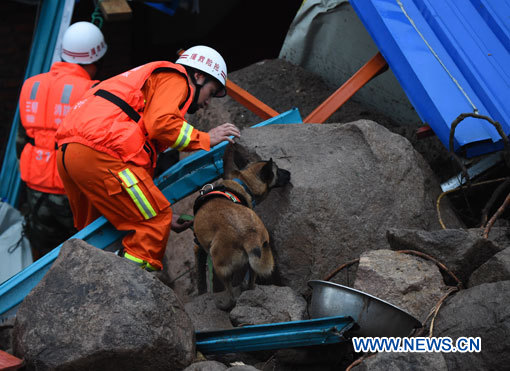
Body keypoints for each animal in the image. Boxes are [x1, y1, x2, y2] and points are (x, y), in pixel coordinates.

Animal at [193, 155, 290, 310]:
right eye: (278, 170)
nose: (289, 173)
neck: (244, 183)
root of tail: (249, 236)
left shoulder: (198, 247)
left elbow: (200, 277)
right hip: (254, 263)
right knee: (251, 284)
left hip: (219, 266)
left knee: (231, 296)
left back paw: (224, 305)